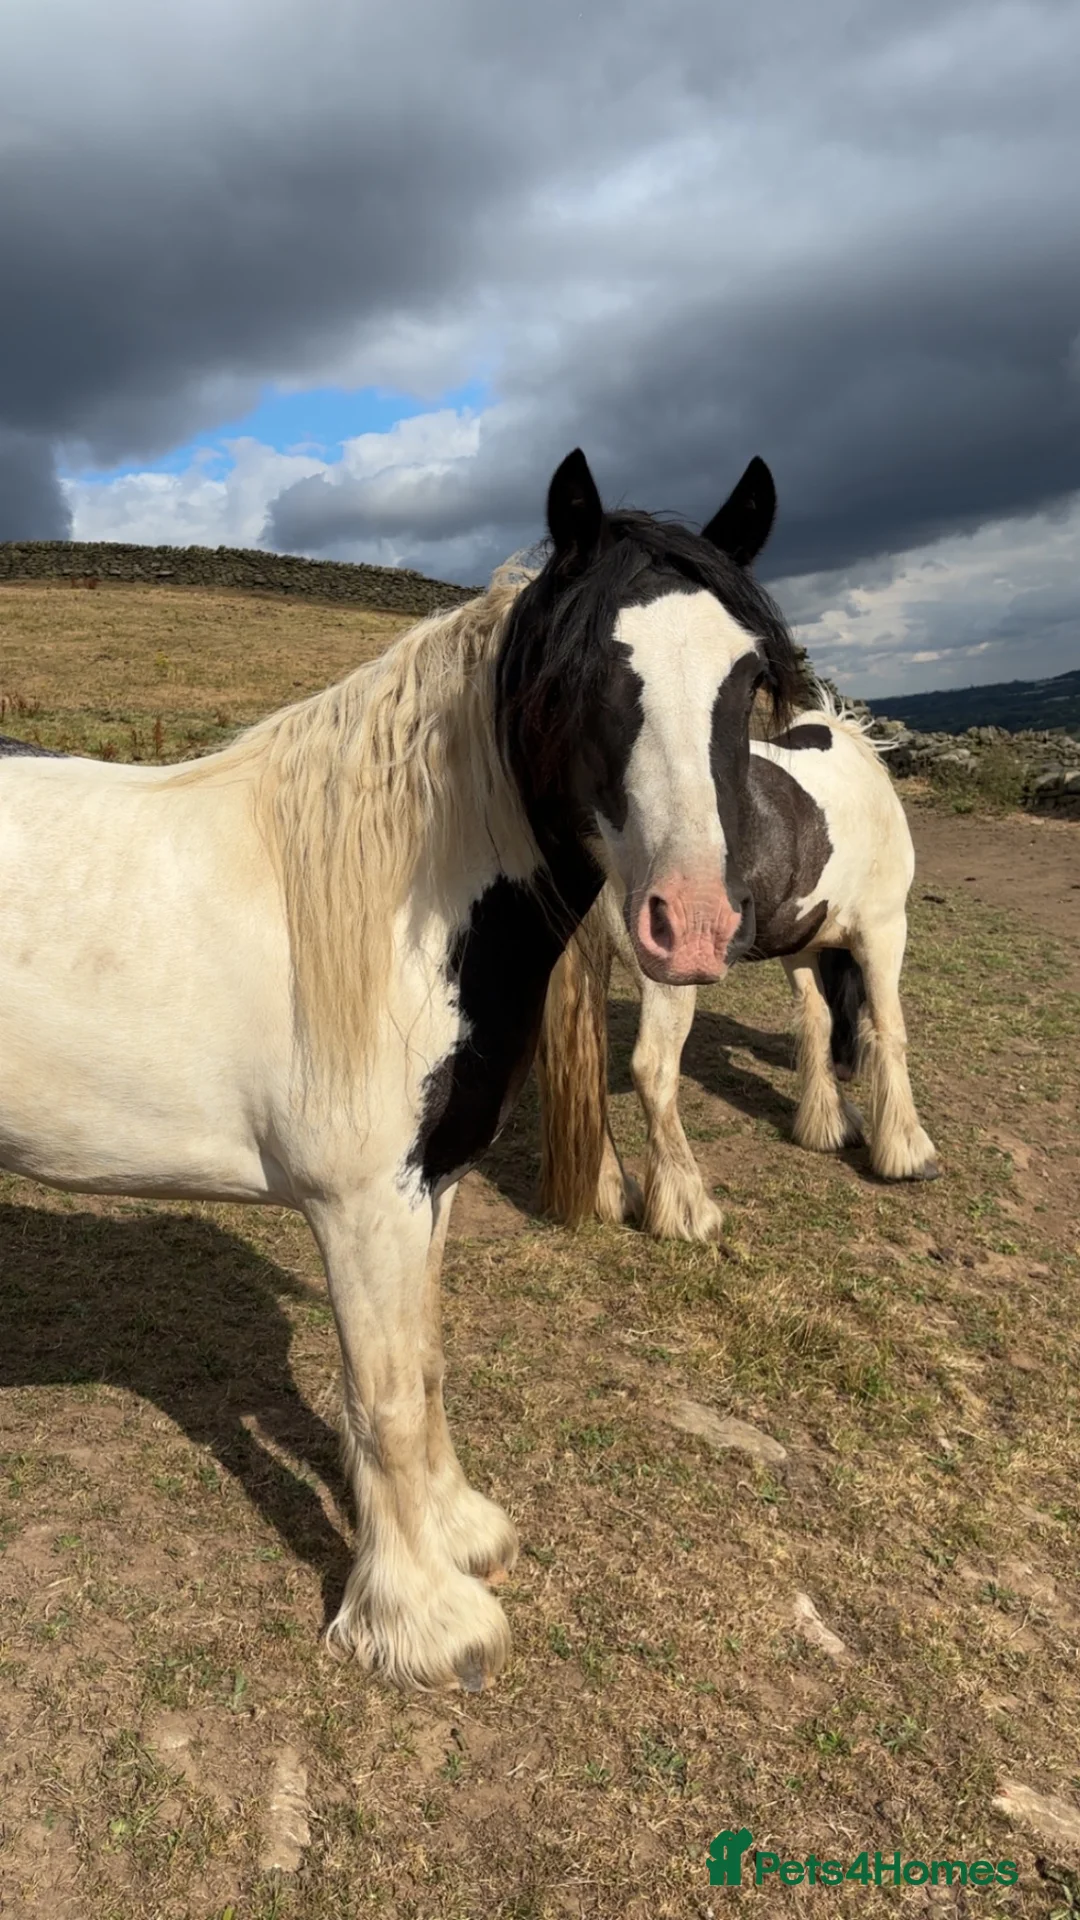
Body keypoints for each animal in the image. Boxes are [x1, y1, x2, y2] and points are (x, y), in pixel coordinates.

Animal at [0, 447, 804, 1692]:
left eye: (749, 677)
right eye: (586, 673)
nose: (698, 923)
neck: (402, 917)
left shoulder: (436, 1184)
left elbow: (422, 1370)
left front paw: (461, 1531)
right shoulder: (361, 1207)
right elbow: (380, 1396)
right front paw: (422, 1619)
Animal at [535, 697, 939, 1243]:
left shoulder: (800, 945)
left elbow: (817, 1019)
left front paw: (828, 1124)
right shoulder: (883, 930)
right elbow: (888, 1029)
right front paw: (907, 1150)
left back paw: (612, 1193)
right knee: (653, 1069)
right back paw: (687, 1208)